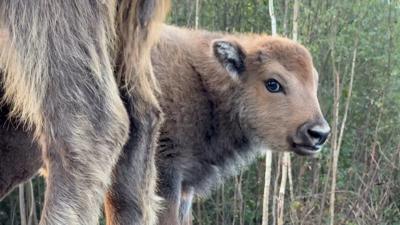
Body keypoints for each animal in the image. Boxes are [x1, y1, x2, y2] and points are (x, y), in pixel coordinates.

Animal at [152, 25, 330, 225]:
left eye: (314, 82)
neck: (207, 89)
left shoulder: (186, 186)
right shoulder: (167, 173)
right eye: (272, 84)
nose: (320, 133)